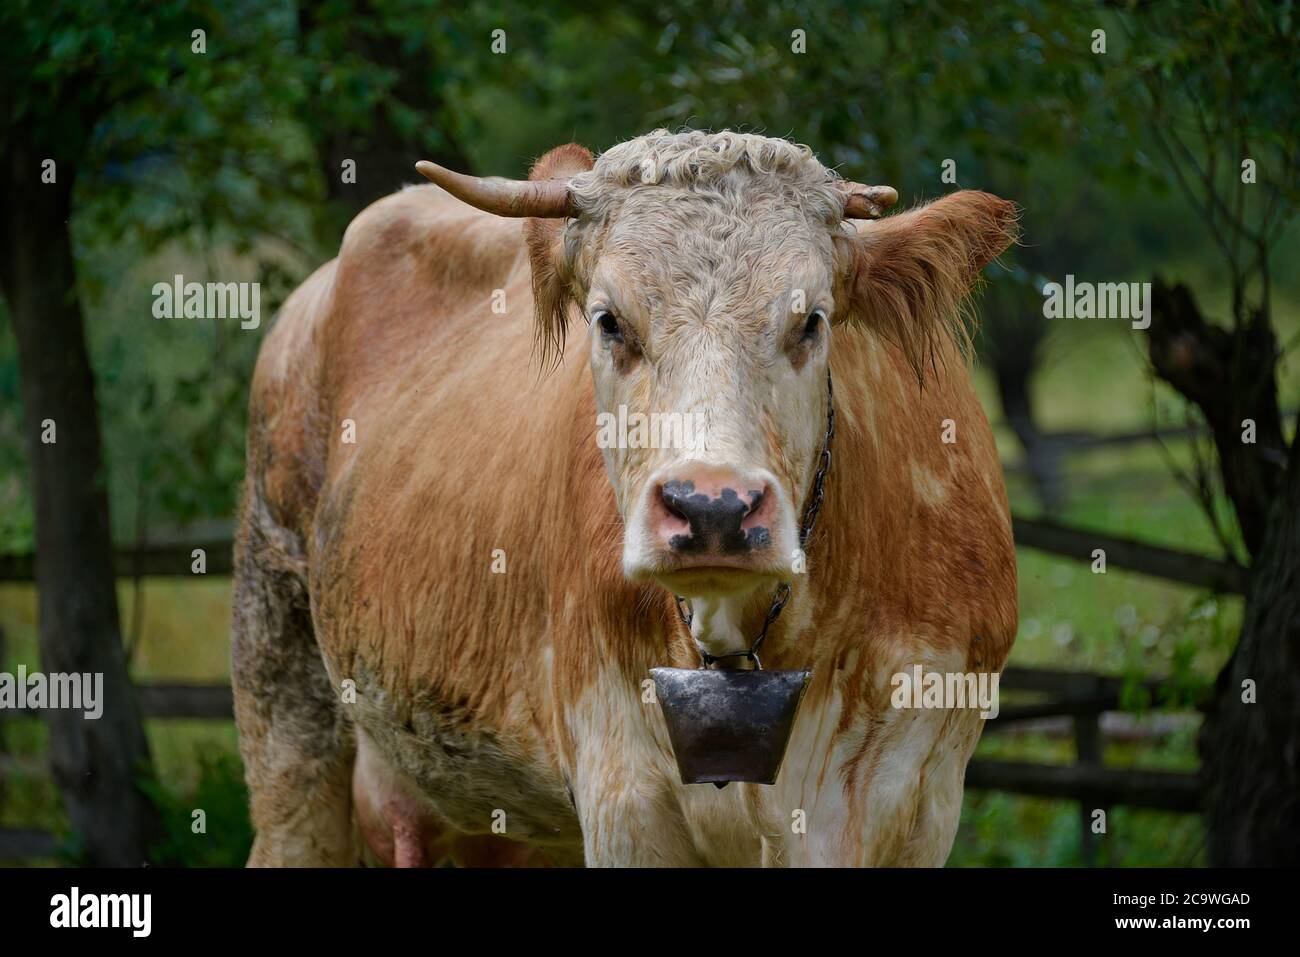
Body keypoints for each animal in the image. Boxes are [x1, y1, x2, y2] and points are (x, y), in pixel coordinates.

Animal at [236, 127, 1024, 868]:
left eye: (812, 320)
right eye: (609, 320)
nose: (714, 509)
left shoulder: (913, 794)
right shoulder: (624, 796)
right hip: (282, 688)